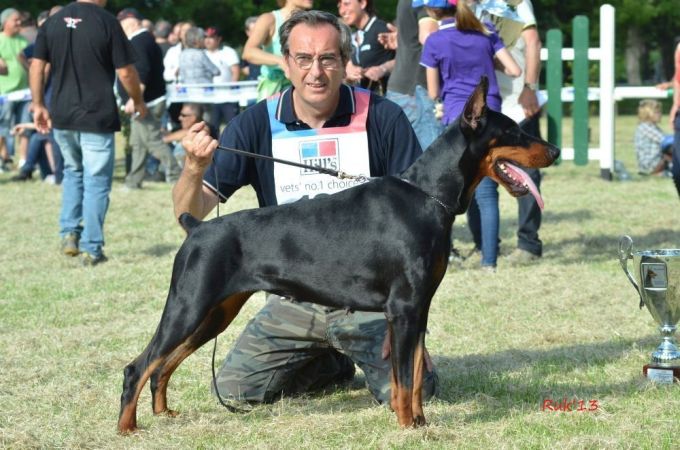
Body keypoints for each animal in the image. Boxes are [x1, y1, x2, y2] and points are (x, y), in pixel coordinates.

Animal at [117, 77, 560, 433]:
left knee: (163, 365)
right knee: (140, 365)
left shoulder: (419, 309)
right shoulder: (403, 308)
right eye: (513, 131)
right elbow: (403, 378)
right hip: (190, 304)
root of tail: (196, 226)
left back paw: (163, 413)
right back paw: (128, 428)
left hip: (214, 312)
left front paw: (420, 422)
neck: (428, 197)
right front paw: (407, 426)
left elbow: (416, 374)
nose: (555, 151)